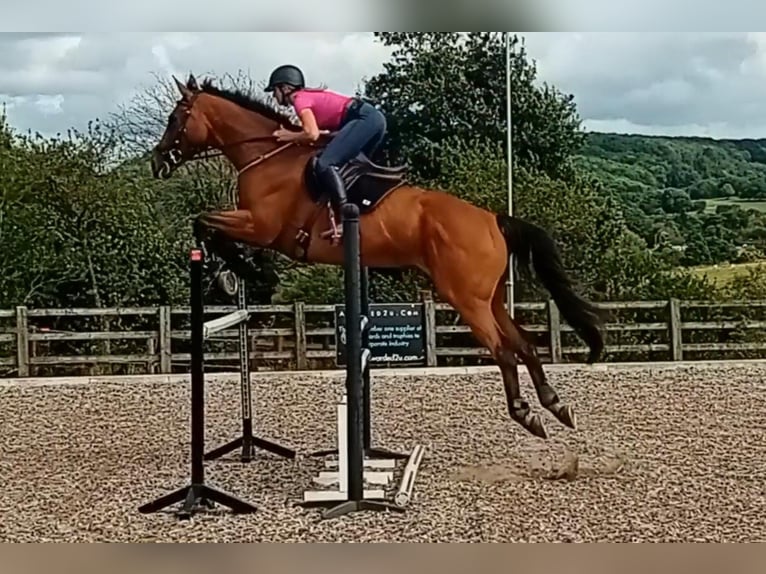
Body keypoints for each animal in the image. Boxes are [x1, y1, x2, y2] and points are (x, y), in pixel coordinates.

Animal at [148, 73, 608, 440]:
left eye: (175, 119)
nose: (156, 163)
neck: (266, 156)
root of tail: (493, 218)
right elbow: (204, 223)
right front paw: (232, 273)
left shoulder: (261, 227)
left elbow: (203, 222)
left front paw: (235, 271)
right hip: (490, 297)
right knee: (524, 345)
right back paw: (555, 405)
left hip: (466, 299)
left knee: (504, 351)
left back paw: (526, 413)